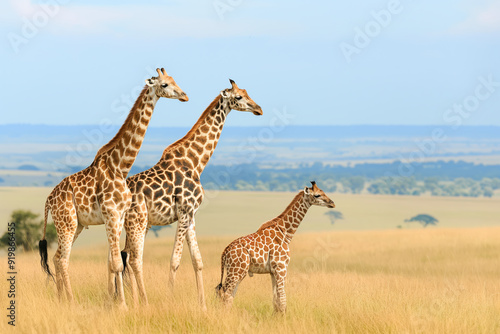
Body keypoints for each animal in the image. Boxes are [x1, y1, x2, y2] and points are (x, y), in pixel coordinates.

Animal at [38, 67, 188, 308]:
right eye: (164, 84)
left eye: (175, 80)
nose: (184, 95)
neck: (120, 166)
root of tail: (48, 201)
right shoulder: (110, 214)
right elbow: (117, 262)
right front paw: (124, 306)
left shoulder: (119, 216)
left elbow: (114, 261)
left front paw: (116, 302)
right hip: (67, 222)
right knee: (62, 259)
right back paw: (71, 302)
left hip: (76, 224)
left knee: (56, 256)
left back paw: (60, 300)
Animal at [122, 79, 262, 310]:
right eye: (239, 97)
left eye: (247, 92)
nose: (258, 108)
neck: (195, 162)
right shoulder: (184, 211)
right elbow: (175, 260)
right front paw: (168, 302)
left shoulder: (191, 214)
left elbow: (197, 260)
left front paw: (203, 306)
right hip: (138, 222)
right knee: (133, 259)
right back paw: (141, 303)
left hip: (133, 225)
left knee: (124, 256)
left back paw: (132, 303)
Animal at [216, 181, 336, 312]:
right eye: (317, 195)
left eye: (323, 191)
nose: (332, 203)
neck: (286, 233)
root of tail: (224, 252)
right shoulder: (281, 267)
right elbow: (283, 299)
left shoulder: (273, 271)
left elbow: (275, 300)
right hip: (236, 271)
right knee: (226, 294)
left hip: (237, 271)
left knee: (228, 295)